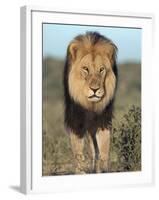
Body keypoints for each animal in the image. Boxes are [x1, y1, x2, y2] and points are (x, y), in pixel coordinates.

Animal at [63, 31, 118, 173]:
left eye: (101, 69)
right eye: (85, 69)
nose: (94, 90)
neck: (91, 105)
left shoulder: (103, 119)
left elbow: (103, 148)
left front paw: (102, 170)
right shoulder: (76, 119)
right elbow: (78, 150)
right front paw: (81, 171)